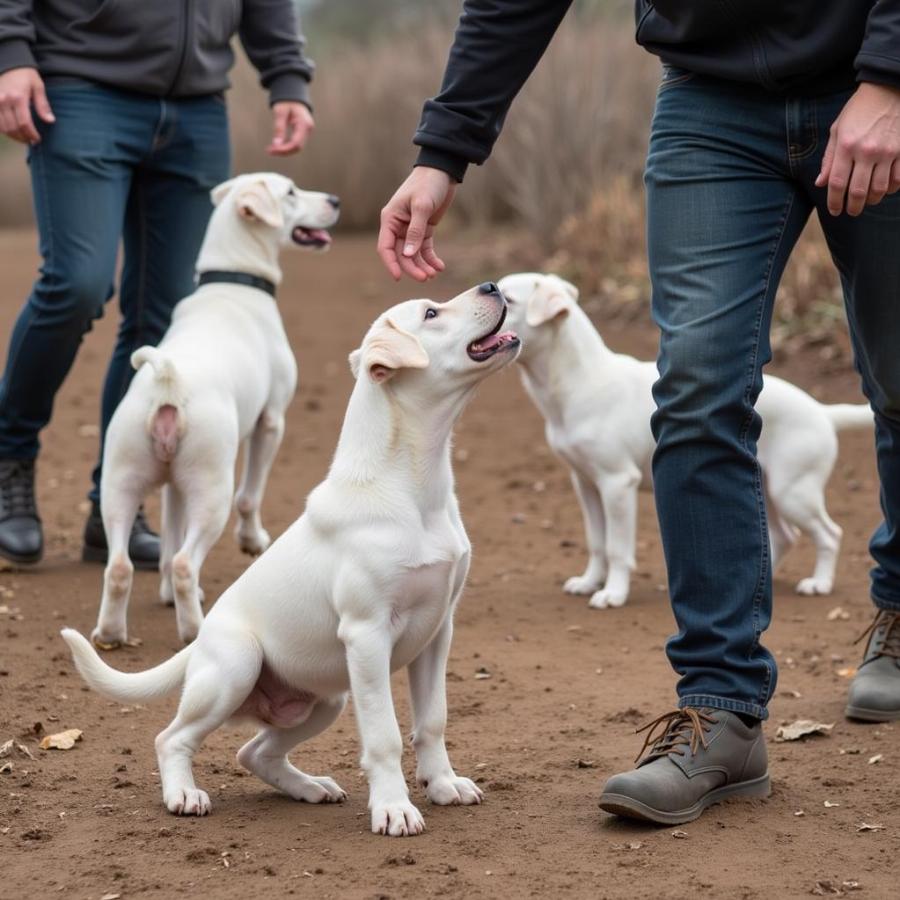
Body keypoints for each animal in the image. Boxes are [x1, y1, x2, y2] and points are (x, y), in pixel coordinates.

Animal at [63, 282, 520, 836]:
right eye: (431, 314)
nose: (493, 286)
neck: (414, 487)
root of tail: (199, 647)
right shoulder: (367, 635)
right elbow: (385, 735)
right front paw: (393, 808)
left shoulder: (438, 630)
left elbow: (432, 720)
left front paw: (443, 784)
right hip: (237, 667)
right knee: (172, 738)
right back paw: (184, 795)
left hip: (325, 700)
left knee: (253, 752)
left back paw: (310, 787)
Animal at [92, 172, 338, 648]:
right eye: (291, 192)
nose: (335, 200)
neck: (233, 279)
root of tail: (169, 383)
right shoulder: (271, 423)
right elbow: (251, 495)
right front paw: (253, 541)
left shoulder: (173, 485)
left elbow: (170, 535)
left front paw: (164, 594)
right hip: (212, 491)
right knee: (187, 562)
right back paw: (193, 628)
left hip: (122, 484)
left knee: (121, 566)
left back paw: (110, 632)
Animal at [496, 274, 876, 612]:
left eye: (509, 299)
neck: (579, 381)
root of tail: (823, 412)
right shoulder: (586, 483)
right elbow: (597, 542)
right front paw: (589, 582)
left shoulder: (617, 484)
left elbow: (617, 548)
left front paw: (613, 594)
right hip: (769, 489)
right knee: (785, 537)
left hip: (793, 491)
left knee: (830, 533)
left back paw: (819, 583)